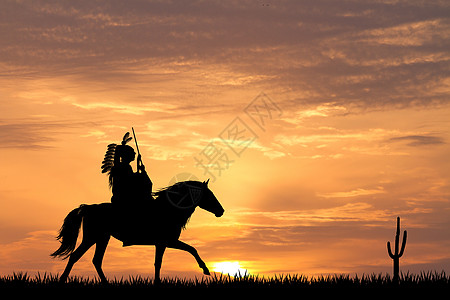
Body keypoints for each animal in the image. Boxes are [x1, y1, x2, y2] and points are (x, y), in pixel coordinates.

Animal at [51, 180, 225, 284]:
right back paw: (62, 280)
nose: (221, 211)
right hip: (92, 237)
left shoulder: (163, 243)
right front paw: (206, 269)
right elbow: (190, 250)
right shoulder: (167, 241)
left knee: (96, 260)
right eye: (209, 195)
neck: (168, 210)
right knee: (75, 256)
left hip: (102, 238)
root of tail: (88, 207)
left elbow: (160, 262)